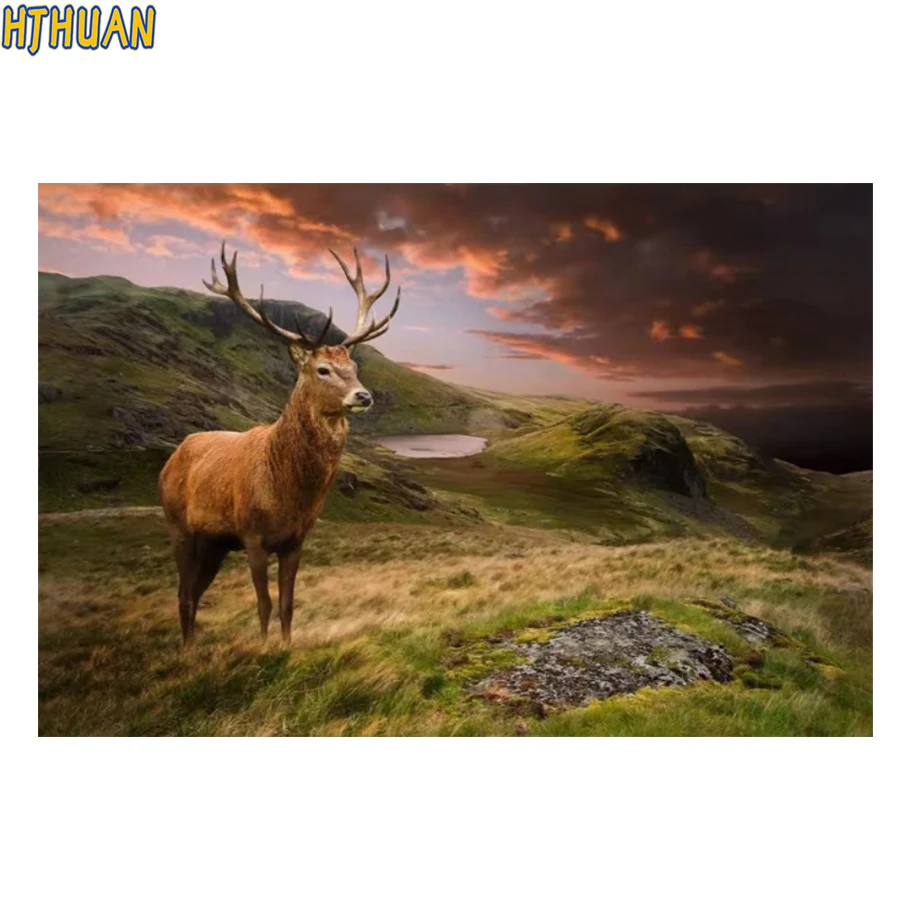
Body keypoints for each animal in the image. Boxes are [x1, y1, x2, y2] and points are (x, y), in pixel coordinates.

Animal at [158, 242, 400, 648]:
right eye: (322, 369)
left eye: (353, 366)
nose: (364, 396)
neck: (287, 494)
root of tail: (169, 461)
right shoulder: (252, 536)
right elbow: (264, 604)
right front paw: (263, 649)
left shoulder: (296, 541)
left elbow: (288, 603)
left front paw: (286, 648)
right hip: (179, 527)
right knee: (183, 594)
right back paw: (187, 652)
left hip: (214, 543)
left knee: (193, 591)